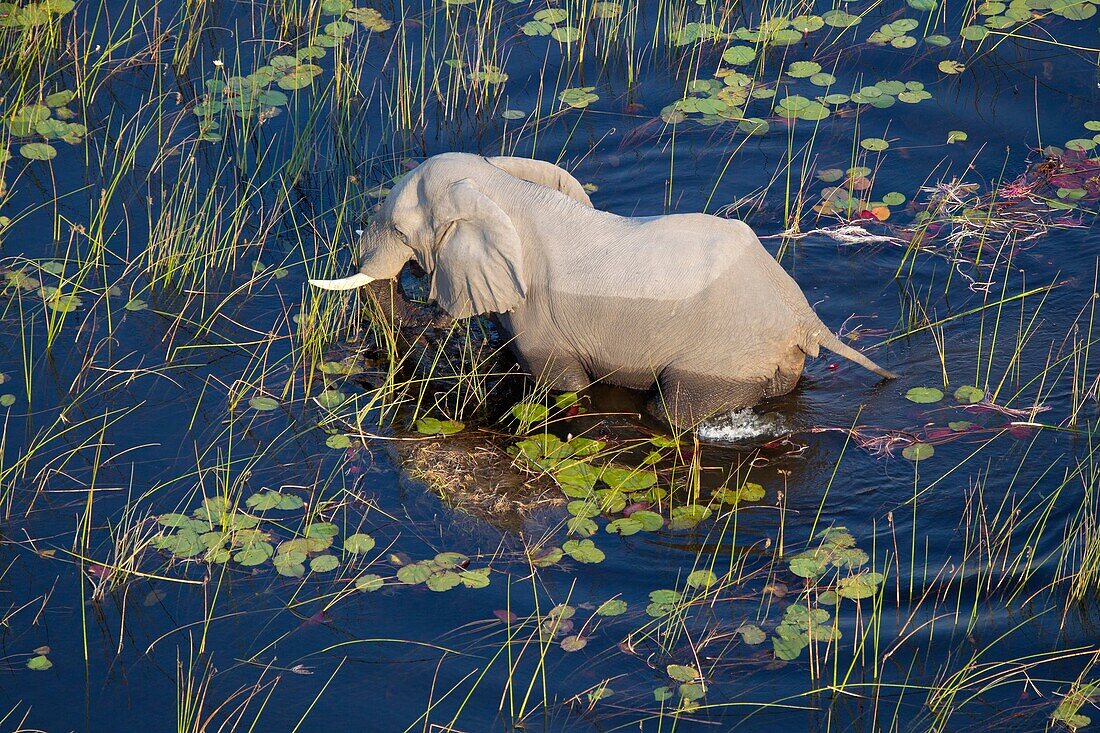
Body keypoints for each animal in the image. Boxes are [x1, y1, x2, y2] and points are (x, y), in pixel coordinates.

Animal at [310, 152, 893, 429]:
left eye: (401, 230)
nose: (430, 310)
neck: (500, 187)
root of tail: (803, 316)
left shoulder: (540, 318)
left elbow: (564, 388)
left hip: (722, 354)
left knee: (672, 414)